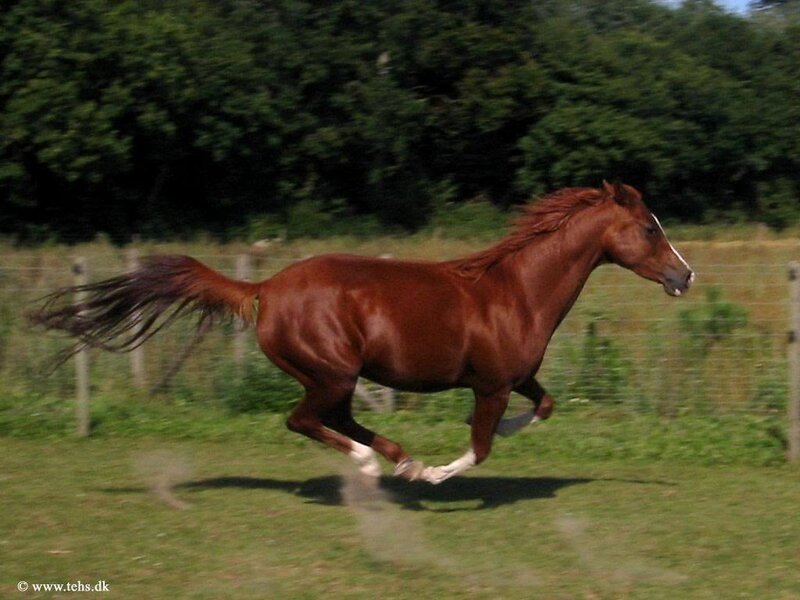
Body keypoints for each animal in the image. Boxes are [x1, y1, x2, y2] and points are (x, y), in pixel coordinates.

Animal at [29, 181, 694, 484]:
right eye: (650, 228)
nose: (685, 275)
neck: (515, 291)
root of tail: (264, 288)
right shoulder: (492, 384)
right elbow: (480, 446)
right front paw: (438, 472)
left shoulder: (516, 377)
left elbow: (547, 404)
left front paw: (447, 455)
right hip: (330, 371)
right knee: (304, 420)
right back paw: (379, 466)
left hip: (336, 376)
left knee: (335, 419)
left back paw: (397, 459)